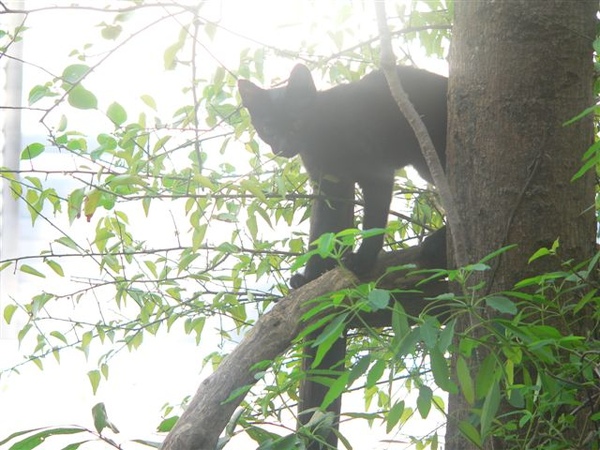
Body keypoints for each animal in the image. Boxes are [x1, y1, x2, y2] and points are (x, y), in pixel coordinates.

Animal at [238, 63, 446, 286]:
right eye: (268, 128)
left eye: (297, 123)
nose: (283, 147)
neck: (321, 135)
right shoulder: (331, 185)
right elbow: (324, 229)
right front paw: (313, 276)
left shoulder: (376, 174)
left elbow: (372, 222)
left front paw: (363, 259)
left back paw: (439, 239)